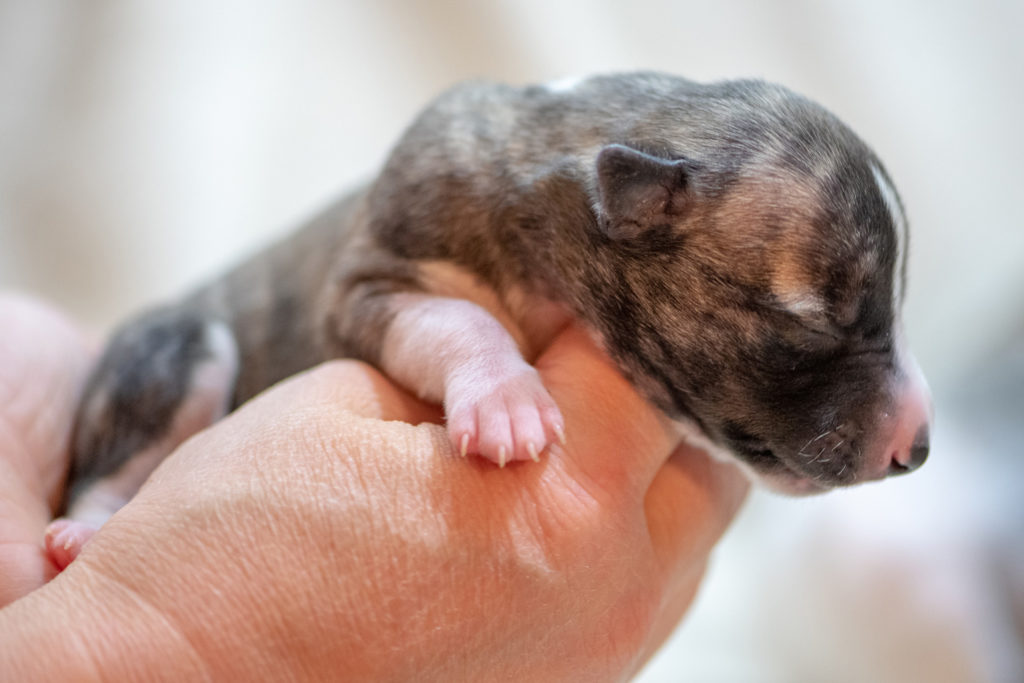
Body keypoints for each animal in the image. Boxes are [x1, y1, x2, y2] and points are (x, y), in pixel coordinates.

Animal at [48, 73, 933, 565]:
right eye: (816, 322)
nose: (919, 448)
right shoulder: (367, 285)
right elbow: (461, 319)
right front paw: (506, 403)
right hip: (175, 353)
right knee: (100, 470)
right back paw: (85, 533)